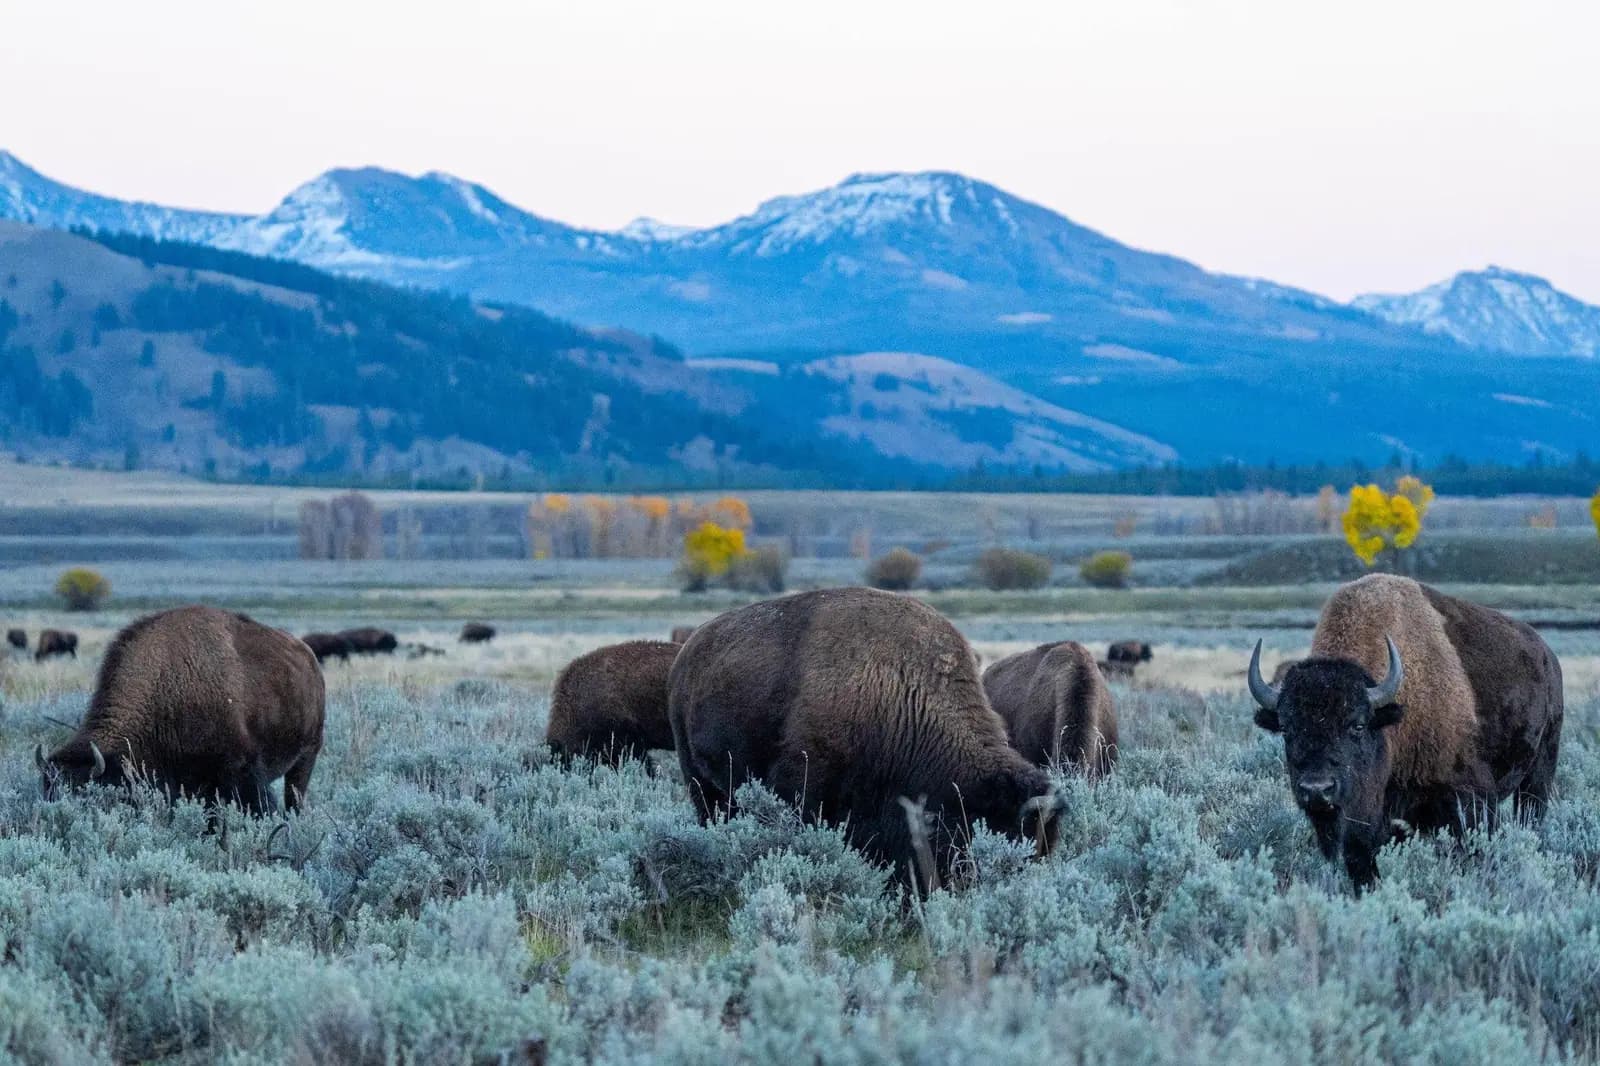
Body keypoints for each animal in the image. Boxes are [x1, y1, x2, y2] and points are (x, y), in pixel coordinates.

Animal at [37, 605, 325, 814]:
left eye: (85, 795)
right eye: (47, 791)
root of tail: (309, 658)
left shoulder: (241, 771)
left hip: (306, 757)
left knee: (295, 798)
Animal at [1248, 574, 1563, 888]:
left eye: (1357, 725)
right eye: (1286, 729)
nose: (1317, 789)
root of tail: (1547, 656)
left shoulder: (1471, 799)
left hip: (1539, 773)